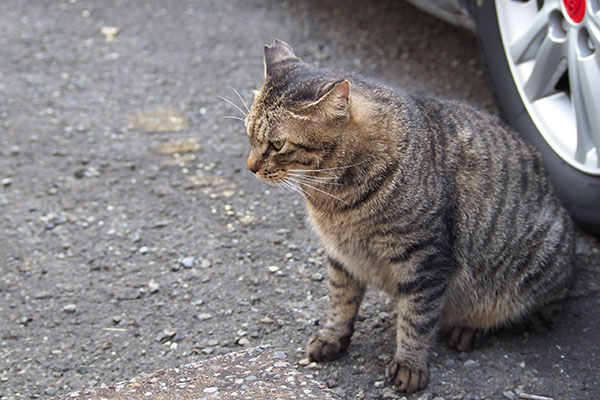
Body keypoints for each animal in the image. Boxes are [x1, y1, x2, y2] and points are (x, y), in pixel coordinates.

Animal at [245, 41, 576, 394]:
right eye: (249, 134)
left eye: (277, 143)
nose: (250, 167)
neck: (334, 201)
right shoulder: (340, 255)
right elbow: (340, 299)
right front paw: (333, 337)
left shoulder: (424, 260)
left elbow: (417, 319)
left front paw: (409, 365)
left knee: (528, 313)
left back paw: (469, 328)